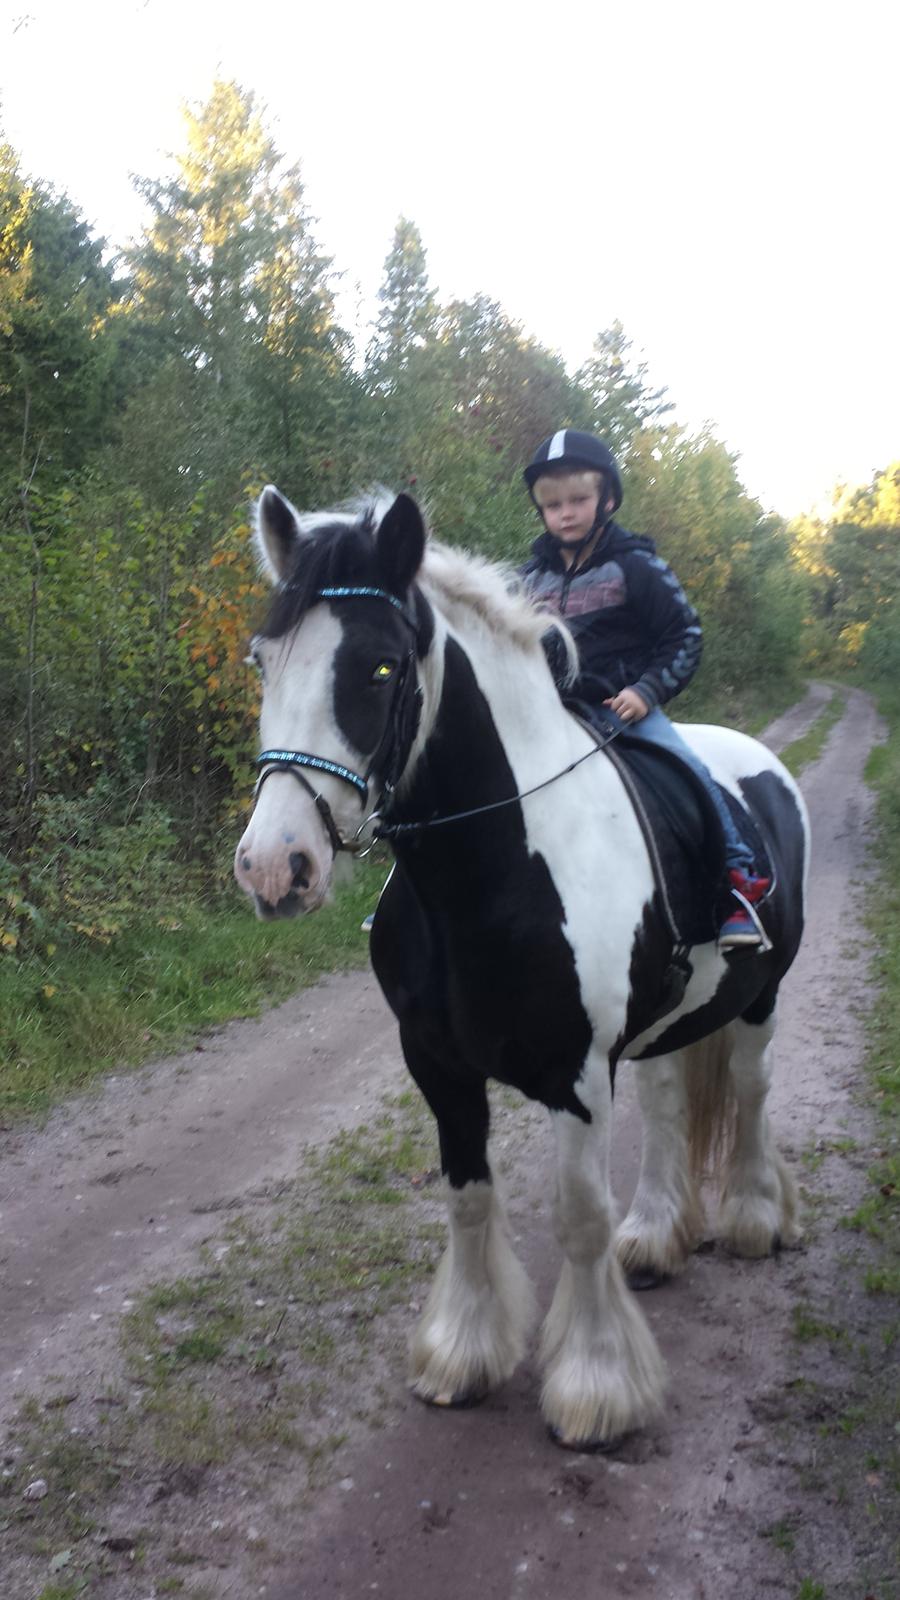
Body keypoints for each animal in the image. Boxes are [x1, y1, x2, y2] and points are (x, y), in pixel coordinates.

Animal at [230, 483, 807, 1452]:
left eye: (380, 668)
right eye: (264, 658)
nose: (277, 868)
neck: (492, 873)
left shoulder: (576, 1075)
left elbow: (578, 1219)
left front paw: (596, 1388)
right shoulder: (438, 1067)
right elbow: (468, 1200)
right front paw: (461, 1357)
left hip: (762, 999)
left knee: (753, 1090)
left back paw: (754, 1219)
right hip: (661, 1030)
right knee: (666, 1106)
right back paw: (657, 1238)